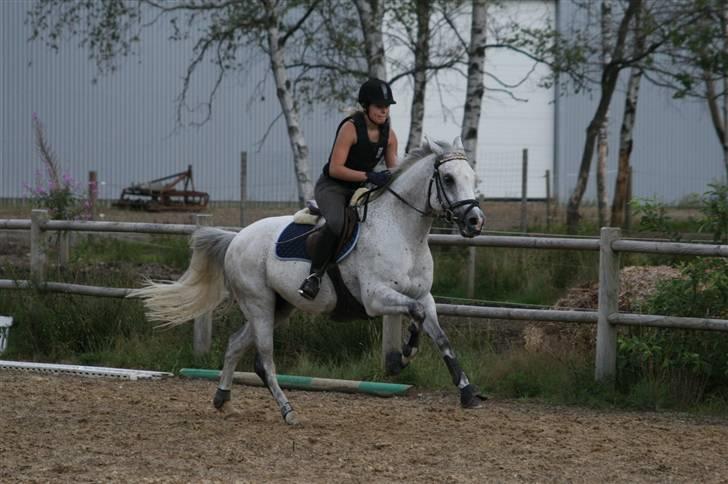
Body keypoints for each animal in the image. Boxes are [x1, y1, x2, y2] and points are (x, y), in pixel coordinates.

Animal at [132, 136, 484, 424]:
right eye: (449, 178)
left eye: (472, 177)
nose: (475, 221)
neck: (402, 231)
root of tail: (236, 238)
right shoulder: (375, 298)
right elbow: (416, 314)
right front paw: (401, 359)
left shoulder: (425, 296)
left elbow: (439, 336)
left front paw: (467, 393)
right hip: (259, 303)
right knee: (265, 359)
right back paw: (287, 411)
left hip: (279, 306)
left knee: (235, 345)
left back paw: (223, 400)